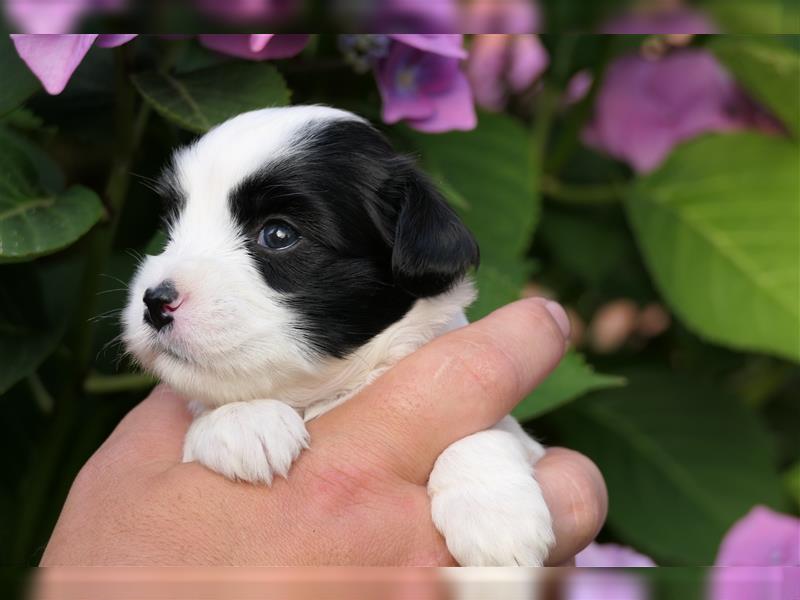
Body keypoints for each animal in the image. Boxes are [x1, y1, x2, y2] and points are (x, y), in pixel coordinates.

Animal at [125, 105, 552, 564]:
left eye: (278, 234)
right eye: (172, 228)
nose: (154, 301)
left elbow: (489, 431)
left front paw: (498, 517)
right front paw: (242, 420)